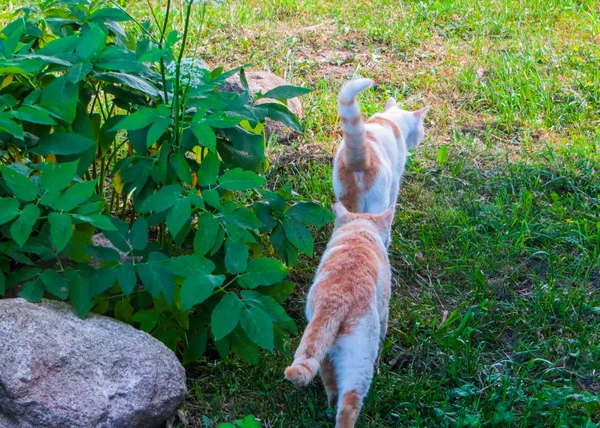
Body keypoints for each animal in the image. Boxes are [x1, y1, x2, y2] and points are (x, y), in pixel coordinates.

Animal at [286, 203, 394, 428]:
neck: (358, 231)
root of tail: (336, 301)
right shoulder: (384, 309)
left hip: (326, 353)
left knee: (332, 386)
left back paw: (329, 409)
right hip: (360, 360)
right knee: (349, 403)